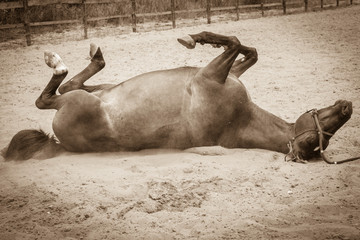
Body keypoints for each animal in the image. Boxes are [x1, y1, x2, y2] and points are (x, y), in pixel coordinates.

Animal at [1, 31, 356, 163]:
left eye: (318, 141)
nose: (347, 107)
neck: (239, 120)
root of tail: (60, 143)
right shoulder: (225, 73)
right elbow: (247, 49)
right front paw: (196, 39)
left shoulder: (211, 74)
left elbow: (235, 41)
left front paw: (194, 38)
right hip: (98, 91)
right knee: (70, 84)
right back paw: (94, 54)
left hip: (79, 103)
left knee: (50, 97)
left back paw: (59, 61)